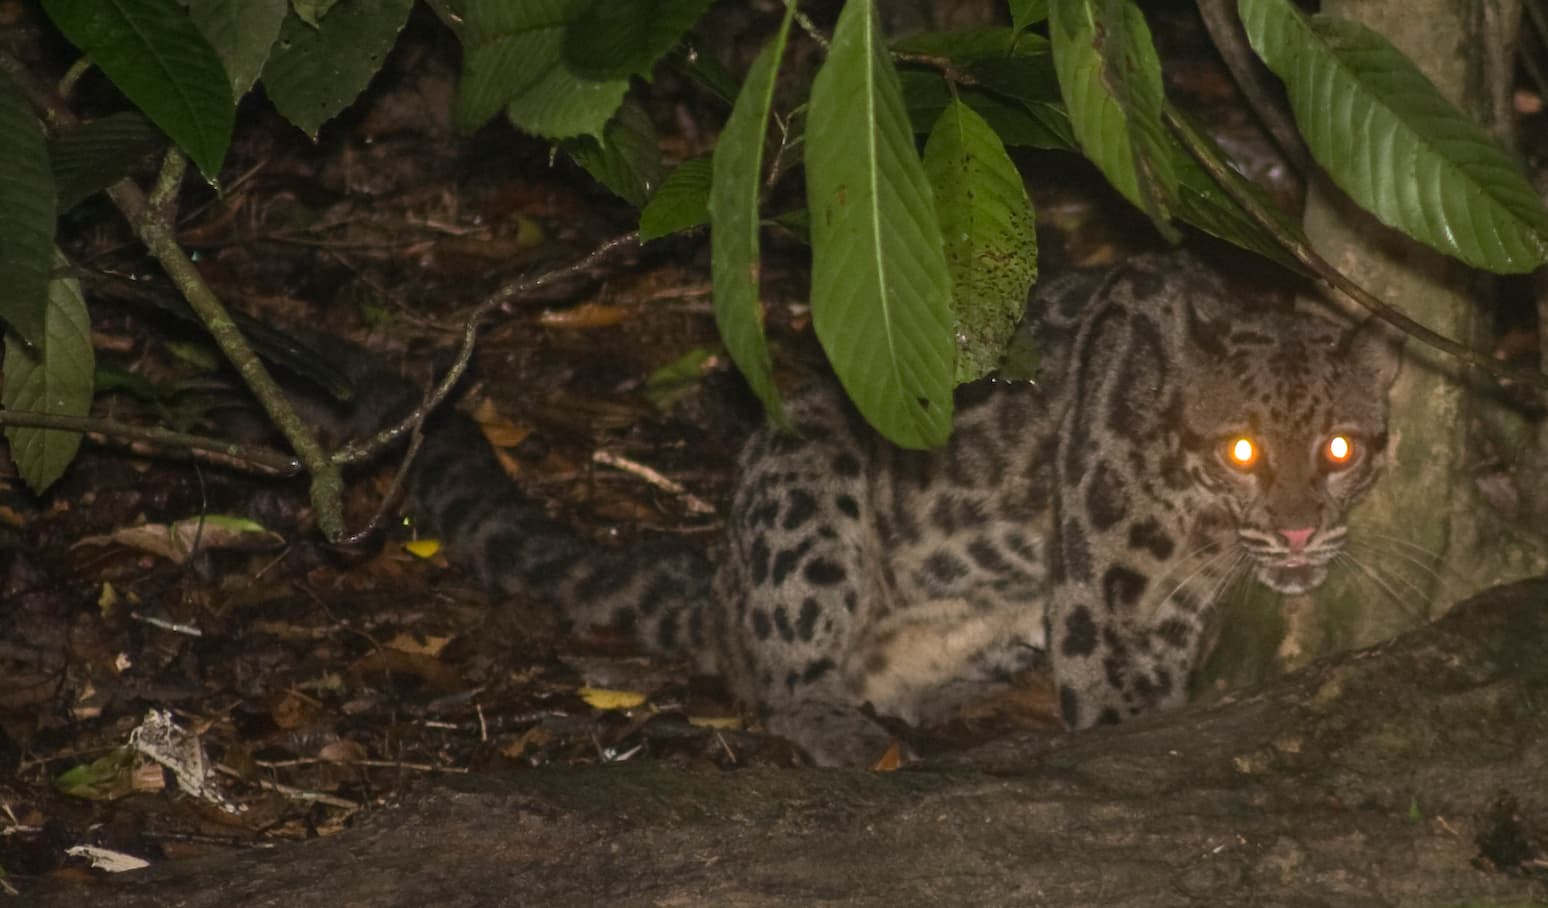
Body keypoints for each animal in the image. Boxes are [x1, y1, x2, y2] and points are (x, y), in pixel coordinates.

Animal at [342, 250, 1401, 766]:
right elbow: (1108, 707)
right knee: (779, 682)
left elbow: (1159, 698)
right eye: (1242, 451)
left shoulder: (1167, 616)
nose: (1300, 529)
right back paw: (839, 729)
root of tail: (719, 588)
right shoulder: (1098, 592)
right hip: (805, 488)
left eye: (1342, 450)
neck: (1196, 526)